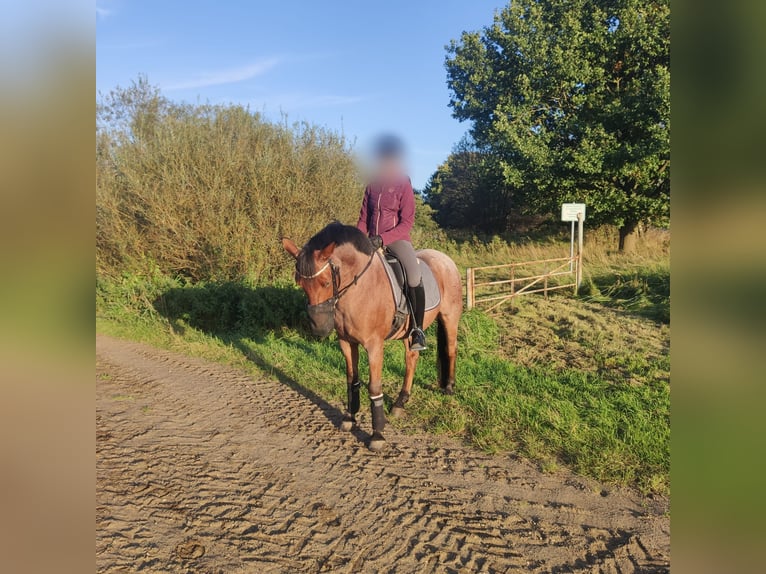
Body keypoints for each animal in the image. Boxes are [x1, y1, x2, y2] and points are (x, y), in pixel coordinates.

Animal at [282, 223, 462, 452]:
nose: (319, 327)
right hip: (409, 332)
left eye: (325, 283)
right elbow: (352, 379)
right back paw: (400, 402)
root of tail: (445, 259)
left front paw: (377, 435)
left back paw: (448, 388)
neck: (360, 290)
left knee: (451, 349)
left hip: (450, 317)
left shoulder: (374, 345)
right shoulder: (346, 342)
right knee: (411, 359)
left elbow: (374, 387)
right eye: (300, 284)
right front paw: (349, 418)